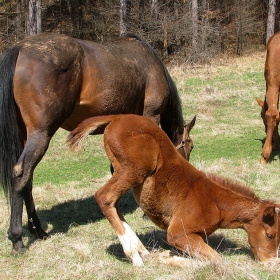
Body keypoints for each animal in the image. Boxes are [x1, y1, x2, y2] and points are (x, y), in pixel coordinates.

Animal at [0, 32, 195, 254]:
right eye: (190, 147)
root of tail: (20, 49)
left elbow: (115, 169)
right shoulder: (150, 117)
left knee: (27, 180)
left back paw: (38, 230)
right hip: (41, 133)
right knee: (22, 173)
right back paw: (17, 238)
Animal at [67, 114, 280, 266]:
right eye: (270, 235)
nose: (270, 262)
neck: (216, 202)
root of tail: (117, 118)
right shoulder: (179, 233)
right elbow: (216, 260)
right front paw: (168, 258)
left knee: (114, 203)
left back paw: (141, 249)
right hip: (134, 169)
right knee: (104, 197)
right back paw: (134, 255)